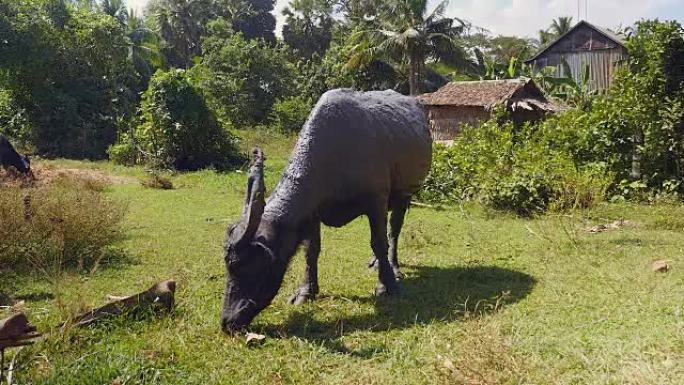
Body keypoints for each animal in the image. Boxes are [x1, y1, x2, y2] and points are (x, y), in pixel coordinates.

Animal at [222, 88, 430, 330]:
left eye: (251, 268)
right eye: (229, 267)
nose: (228, 321)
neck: (335, 154)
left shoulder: (376, 201)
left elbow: (378, 242)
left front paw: (386, 286)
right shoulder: (312, 212)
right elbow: (311, 250)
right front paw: (306, 292)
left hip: (404, 195)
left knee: (393, 231)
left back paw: (393, 266)